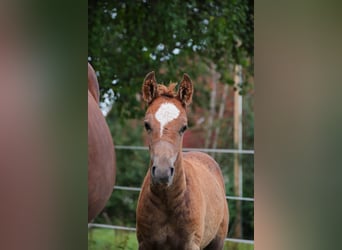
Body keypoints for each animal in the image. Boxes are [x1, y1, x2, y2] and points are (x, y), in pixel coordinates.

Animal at [135, 71, 228, 249]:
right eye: (146, 125)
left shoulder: (191, 244)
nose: (162, 172)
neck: (168, 202)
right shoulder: (145, 243)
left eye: (184, 127)